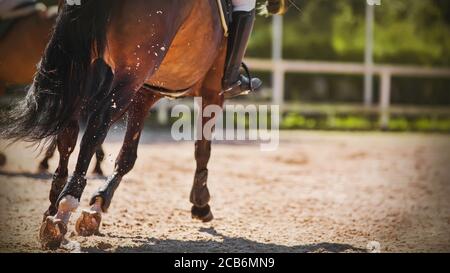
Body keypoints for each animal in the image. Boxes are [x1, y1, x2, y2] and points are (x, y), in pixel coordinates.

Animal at [0, 0, 284, 249]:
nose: (276, 8)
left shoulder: (146, 93)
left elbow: (127, 157)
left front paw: (98, 206)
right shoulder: (213, 91)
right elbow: (202, 149)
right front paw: (201, 203)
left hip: (84, 70)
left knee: (69, 130)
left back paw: (53, 205)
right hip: (128, 75)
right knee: (96, 124)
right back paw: (64, 208)